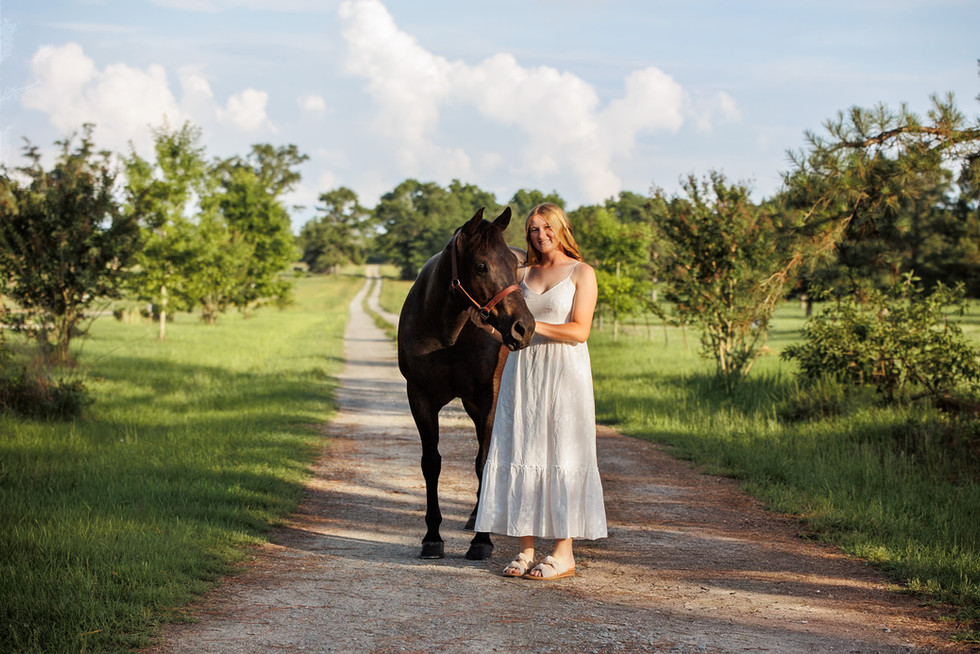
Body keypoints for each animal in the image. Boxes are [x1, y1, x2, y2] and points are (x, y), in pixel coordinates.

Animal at [397, 207, 535, 560]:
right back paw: (475, 515)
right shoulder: (420, 397)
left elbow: (484, 462)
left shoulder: (488, 398)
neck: (447, 332)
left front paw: (482, 541)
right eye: (482, 266)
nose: (524, 327)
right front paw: (432, 537)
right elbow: (431, 463)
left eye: (514, 265)